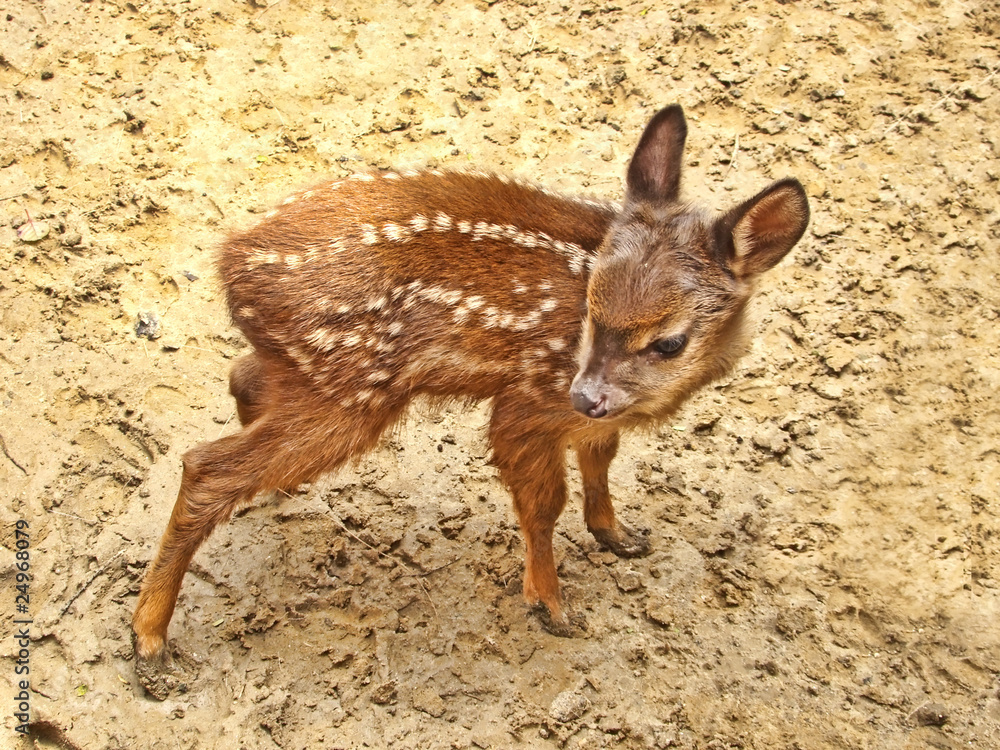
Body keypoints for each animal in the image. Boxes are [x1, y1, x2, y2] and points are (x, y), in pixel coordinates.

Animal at [131, 104, 809, 679]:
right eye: (591, 306)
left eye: (669, 342)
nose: (586, 396)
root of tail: (231, 262)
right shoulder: (529, 399)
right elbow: (545, 504)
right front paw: (551, 608)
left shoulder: (593, 415)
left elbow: (601, 460)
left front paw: (617, 536)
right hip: (355, 389)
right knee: (206, 465)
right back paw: (149, 642)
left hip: (317, 376)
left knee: (242, 380)